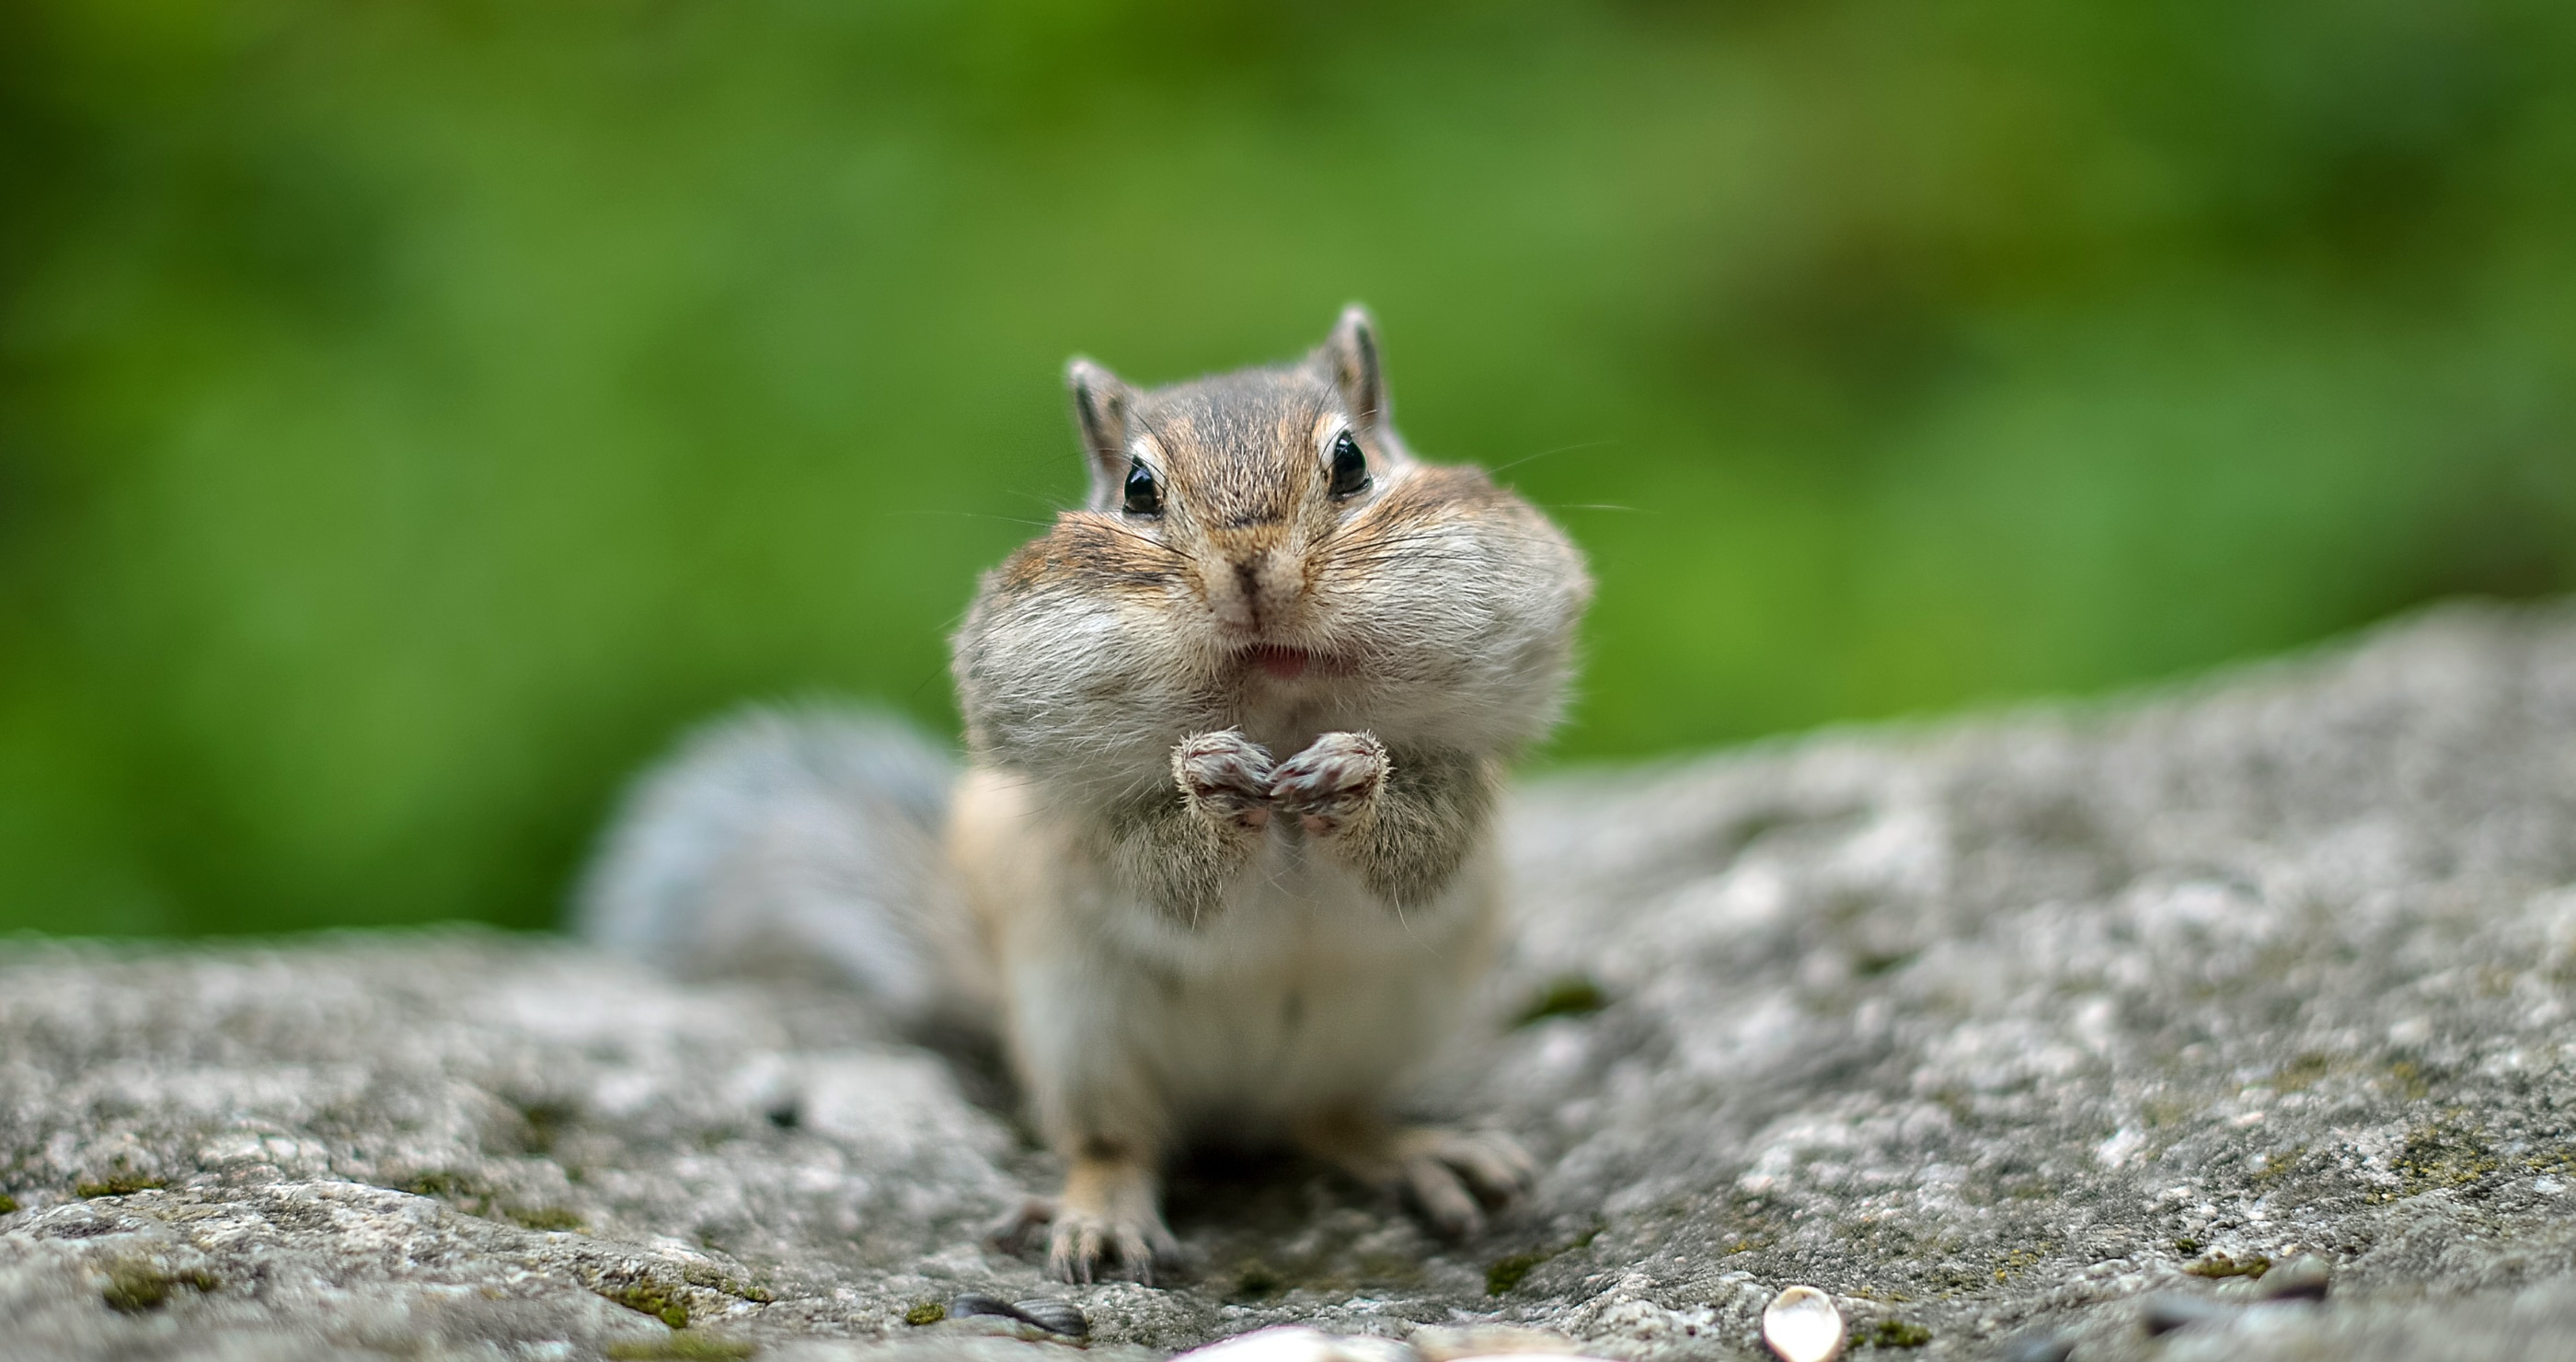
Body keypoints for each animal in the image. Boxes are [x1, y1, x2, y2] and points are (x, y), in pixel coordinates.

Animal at [577, 307, 1591, 1283]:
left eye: (1351, 462)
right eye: (1138, 488)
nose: (1252, 570)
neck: (1278, 709)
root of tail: (1236, 1102)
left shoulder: (1458, 775)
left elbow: (1423, 849)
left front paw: (1351, 774)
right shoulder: (1089, 825)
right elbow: (1159, 874)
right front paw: (1208, 783)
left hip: (1386, 1023)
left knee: (1323, 1117)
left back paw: (1412, 1149)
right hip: (1079, 1031)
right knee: (1117, 1142)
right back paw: (1103, 1214)